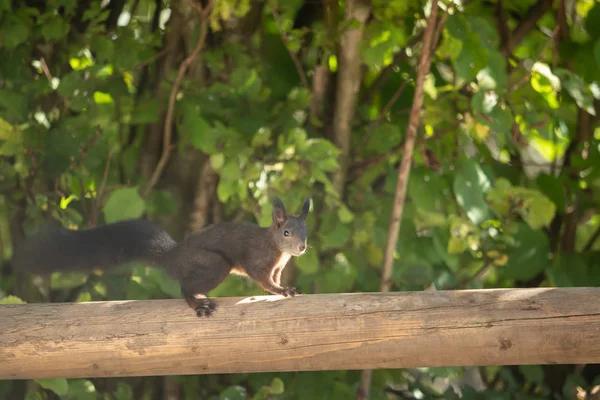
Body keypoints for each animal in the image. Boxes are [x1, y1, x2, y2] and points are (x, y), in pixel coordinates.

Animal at [11, 195, 312, 318]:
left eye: (306, 231)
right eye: (286, 232)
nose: (302, 248)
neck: (277, 249)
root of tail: (173, 255)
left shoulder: (278, 266)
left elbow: (274, 278)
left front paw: (285, 287)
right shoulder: (258, 260)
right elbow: (263, 279)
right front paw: (283, 290)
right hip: (214, 265)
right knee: (184, 288)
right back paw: (197, 303)